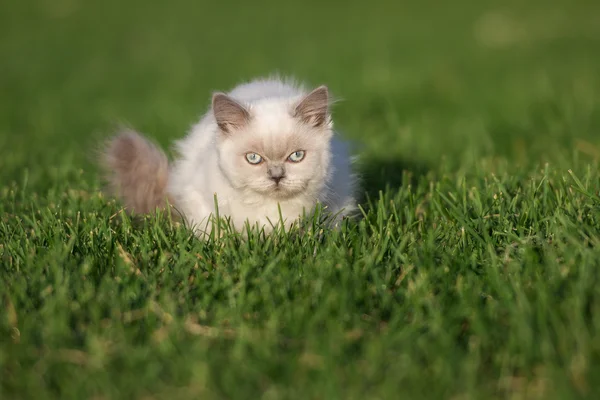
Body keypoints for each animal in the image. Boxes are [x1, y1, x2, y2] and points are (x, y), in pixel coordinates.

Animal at [101, 76, 358, 236]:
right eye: (253, 158)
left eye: (296, 156)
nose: (276, 176)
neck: (273, 208)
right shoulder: (199, 199)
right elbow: (215, 236)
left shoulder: (335, 206)